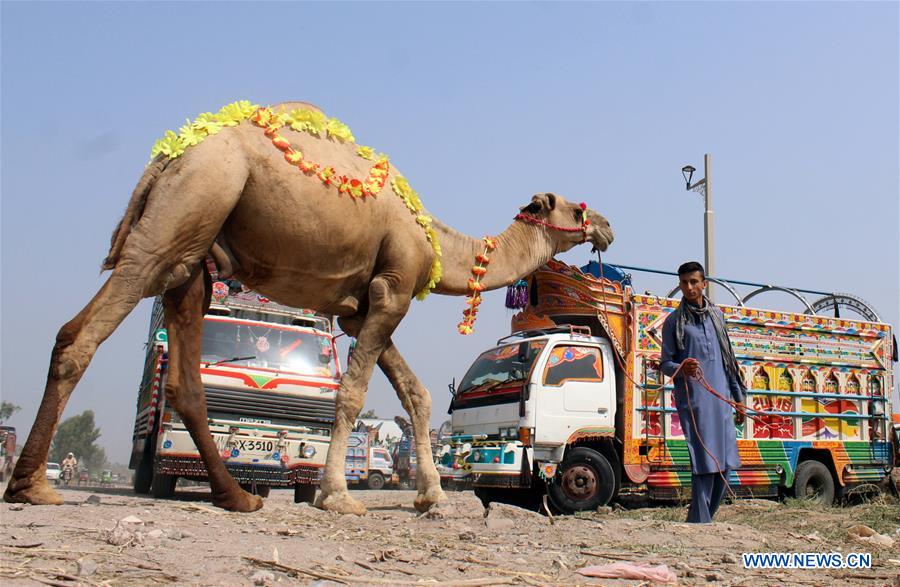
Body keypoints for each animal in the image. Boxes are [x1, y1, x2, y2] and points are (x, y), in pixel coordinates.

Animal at [3, 101, 612, 516]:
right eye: (577, 206)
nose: (607, 225)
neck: (440, 244)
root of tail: (169, 155)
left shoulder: (361, 310)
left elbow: (415, 395)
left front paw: (431, 498)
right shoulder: (392, 289)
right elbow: (353, 393)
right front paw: (337, 495)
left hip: (196, 248)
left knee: (182, 375)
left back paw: (236, 497)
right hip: (190, 202)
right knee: (83, 330)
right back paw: (32, 485)